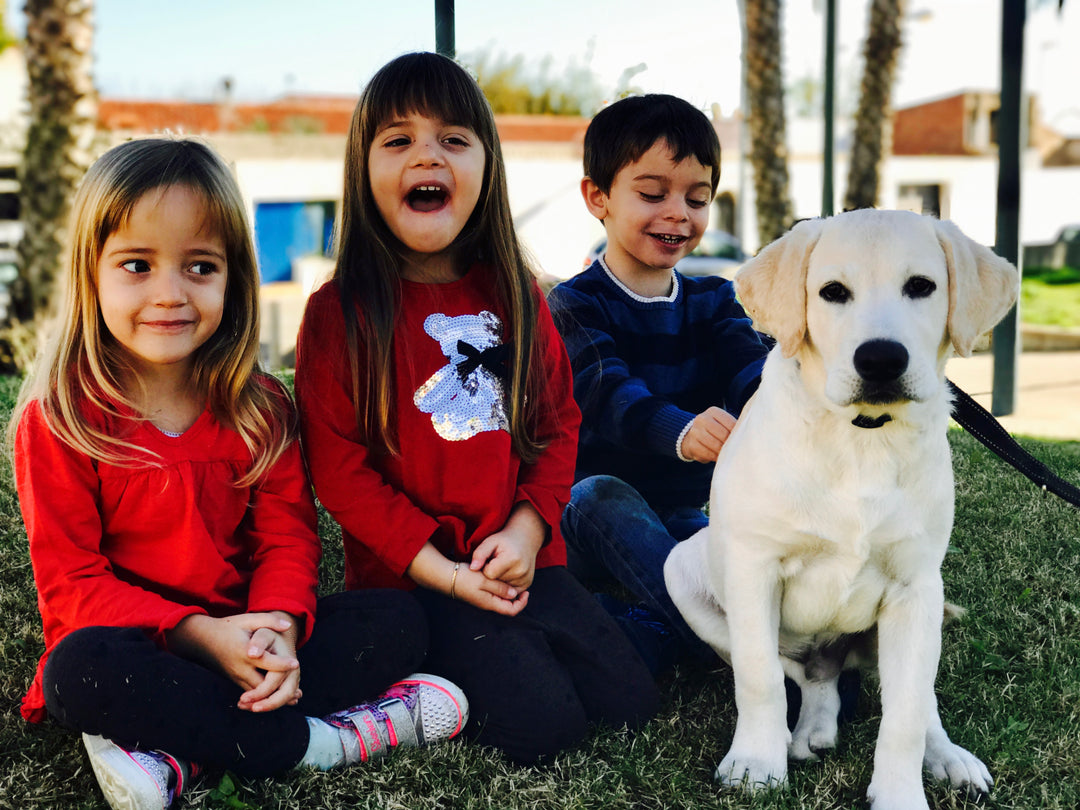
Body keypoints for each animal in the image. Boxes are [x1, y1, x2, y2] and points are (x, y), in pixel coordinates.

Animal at [665, 209, 1019, 810]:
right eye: (832, 292)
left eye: (921, 286)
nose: (880, 359)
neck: (862, 439)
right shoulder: (753, 568)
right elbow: (758, 677)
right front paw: (756, 764)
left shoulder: (914, 587)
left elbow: (904, 715)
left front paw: (900, 794)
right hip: (683, 575)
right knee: (803, 675)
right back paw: (805, 732)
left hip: (921, 615)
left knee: (907, 697)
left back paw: (945, 757)